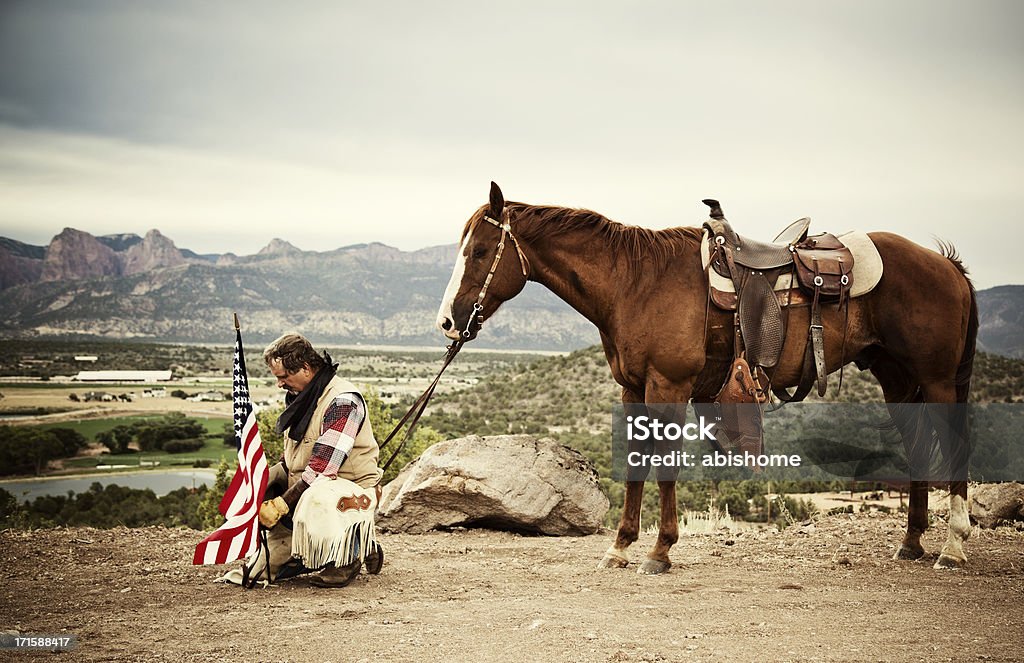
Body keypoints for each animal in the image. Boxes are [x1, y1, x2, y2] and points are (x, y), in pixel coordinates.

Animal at [436, 182, 978, 573]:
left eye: (480, 251)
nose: (447, 321)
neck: (636, 283)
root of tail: (946, 264)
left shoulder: (669, 386)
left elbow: (665, 466)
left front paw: (659, 551)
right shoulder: (633, 389)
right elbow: (636, 463)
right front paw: (620, 547)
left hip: (937, 380)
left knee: (955, 445)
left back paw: (953, 547)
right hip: (897, 381)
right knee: (916, 445)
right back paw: (911, 543)